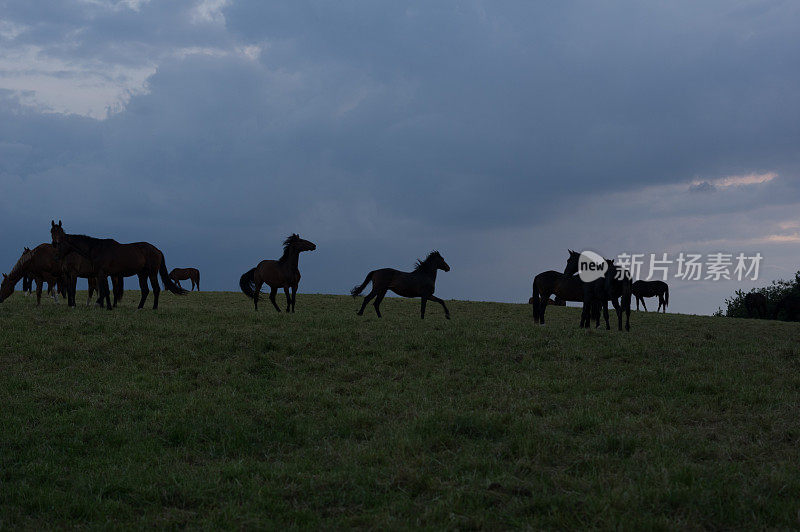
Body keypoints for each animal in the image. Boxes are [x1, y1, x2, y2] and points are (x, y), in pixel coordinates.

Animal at [50, 221, 188, 312]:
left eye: (60, 242)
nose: (55, 256)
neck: (97, 249)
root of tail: (157, 250)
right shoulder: (101, 275)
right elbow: (105, 290)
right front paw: (107, 306)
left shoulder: (102, 274)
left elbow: (106, 291)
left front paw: (109, 307)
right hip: (142, 274)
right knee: (145, 290)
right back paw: (139, 307)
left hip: (152, 273)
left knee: (156, 289)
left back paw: (154, 308)